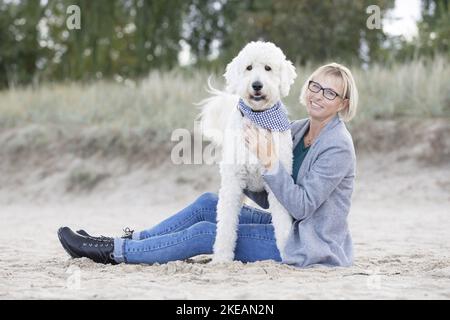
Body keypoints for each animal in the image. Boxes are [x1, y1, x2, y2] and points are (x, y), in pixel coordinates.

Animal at [198, 42, 298, 262]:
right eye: (249, 68)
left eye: (268, 68)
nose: (257, 85)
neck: (258, 118)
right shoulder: (233, 182)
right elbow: (226, 224)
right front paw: (222, 256)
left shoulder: (278, 184)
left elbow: (283, 222)